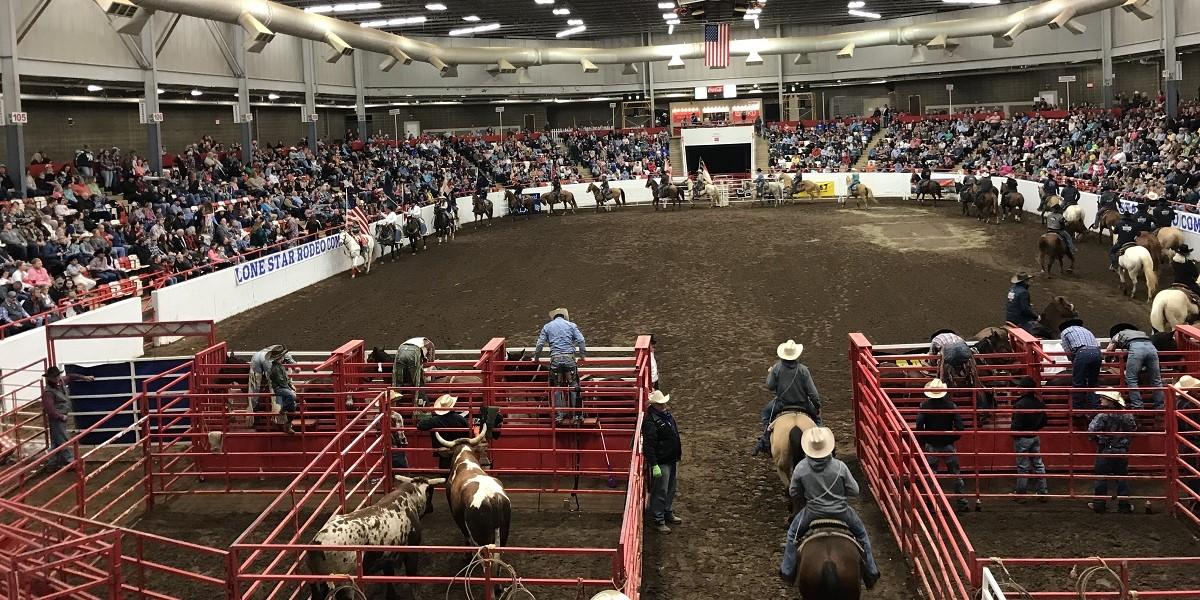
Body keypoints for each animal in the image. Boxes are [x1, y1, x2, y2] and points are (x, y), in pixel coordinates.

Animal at [307, 475, 444, 597]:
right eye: (431, 491)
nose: (431, 508)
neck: (411, 500)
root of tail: (317, 542)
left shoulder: (387, 558)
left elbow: (389, 576)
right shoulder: (411, 551)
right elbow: (412, 578)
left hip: (317, 585)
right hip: (345, 586)